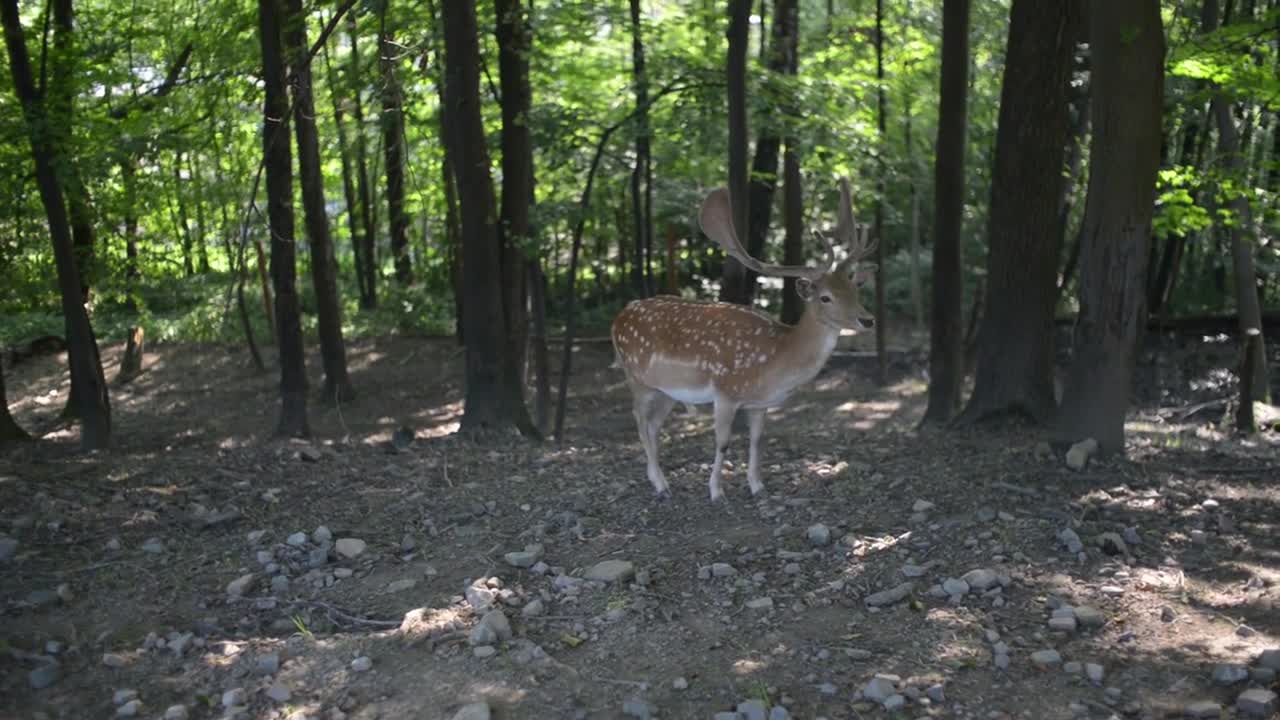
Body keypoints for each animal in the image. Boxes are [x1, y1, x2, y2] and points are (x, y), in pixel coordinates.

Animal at [611, 180, 880, 499]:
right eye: (826, 297)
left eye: (855, 290)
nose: (868, 320)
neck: (776, 359)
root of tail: (618, 318)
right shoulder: (726, 392)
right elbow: (723, 442)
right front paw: (716, 491)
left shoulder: (759, 403)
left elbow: (758, 440)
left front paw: (757, 486)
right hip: (636, 377)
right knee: (639, 422)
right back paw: (661, 485)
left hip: (667, 390)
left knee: (652, 426)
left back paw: (661, 482)